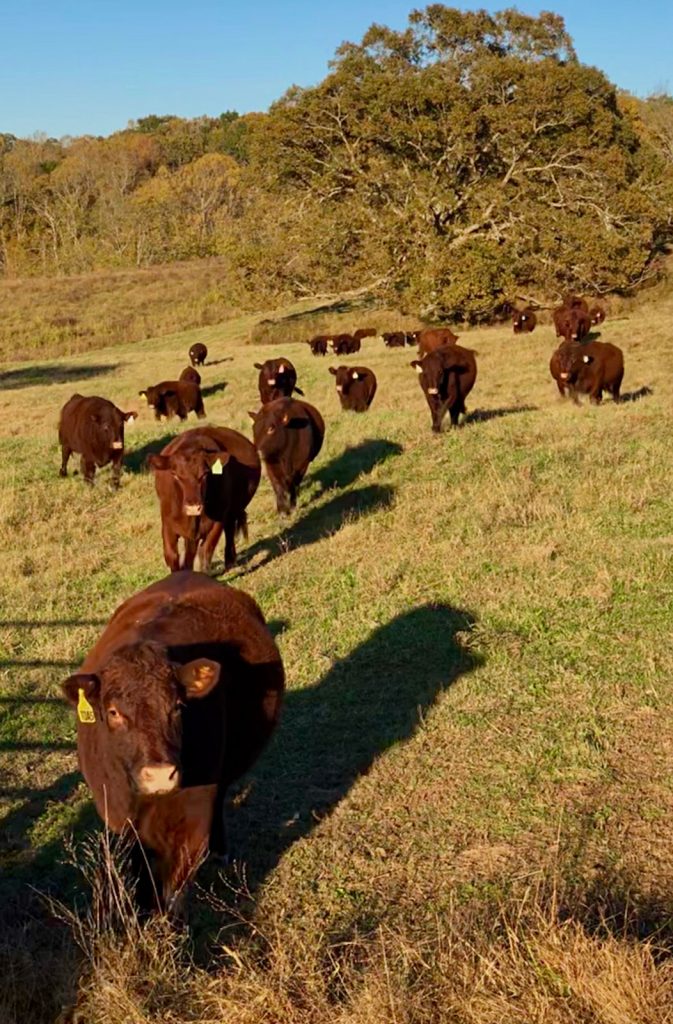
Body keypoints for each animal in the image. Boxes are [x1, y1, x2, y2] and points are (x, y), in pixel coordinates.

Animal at [61, 570, 284, 911]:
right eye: (113, 712)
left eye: (178, 706)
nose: (159, 775)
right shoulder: (123, 823)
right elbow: (142, 881)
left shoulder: (192, 824)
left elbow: (174, 894)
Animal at [148, 426, 260, 572]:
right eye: (175, 475)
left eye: (205, 474)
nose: (193, 507)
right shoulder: (168, 524)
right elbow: (172, 556)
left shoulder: (217, 522)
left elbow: (205, 553)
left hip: (231, 513)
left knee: (229, 531)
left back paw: (230, 561)